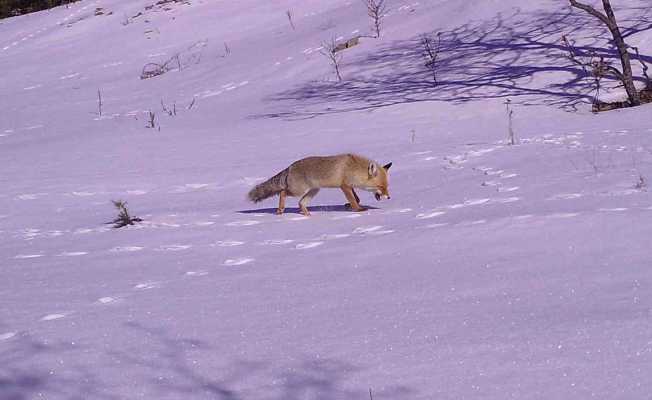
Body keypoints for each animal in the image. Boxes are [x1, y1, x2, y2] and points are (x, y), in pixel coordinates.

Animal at [248, 153, 392, 216]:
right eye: (381, 187)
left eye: (387, 186)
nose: (389, 197)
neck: (354, 168)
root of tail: (290, 167)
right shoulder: (344, 186)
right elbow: (353, 200)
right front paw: (358, 209)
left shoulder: (349, 185)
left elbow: (356, 198)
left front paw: (348, 205)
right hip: (298, 191)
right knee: (283, 192)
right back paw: (280, 210)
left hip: (313, 191)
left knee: (301, 203)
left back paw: (308, 215)